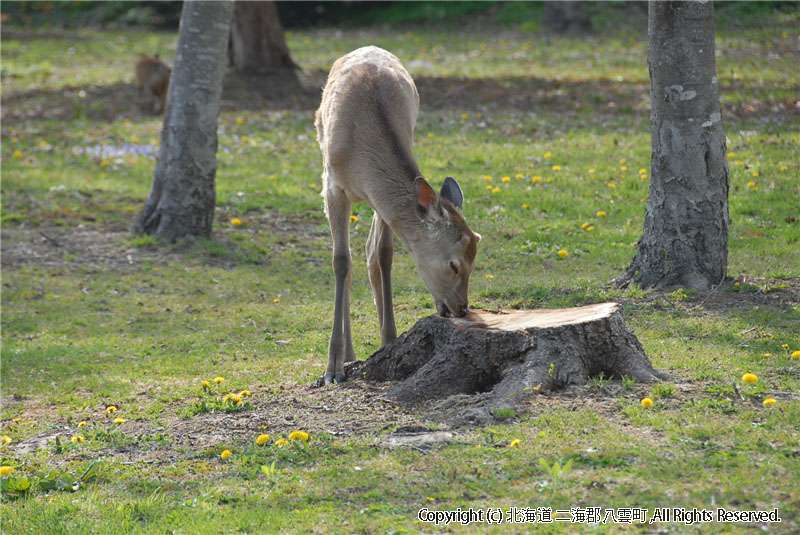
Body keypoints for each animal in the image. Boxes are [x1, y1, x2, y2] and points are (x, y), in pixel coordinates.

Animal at [314, 48, 482, 386]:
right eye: (454, 264)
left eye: (474, 259)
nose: (461, 308)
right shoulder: (332, 187)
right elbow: (341, 262)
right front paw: (332, 368)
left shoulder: (381, 200)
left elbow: (383, 254)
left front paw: (389, 340)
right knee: (348, 260)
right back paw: (347, 355)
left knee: (370, 252)